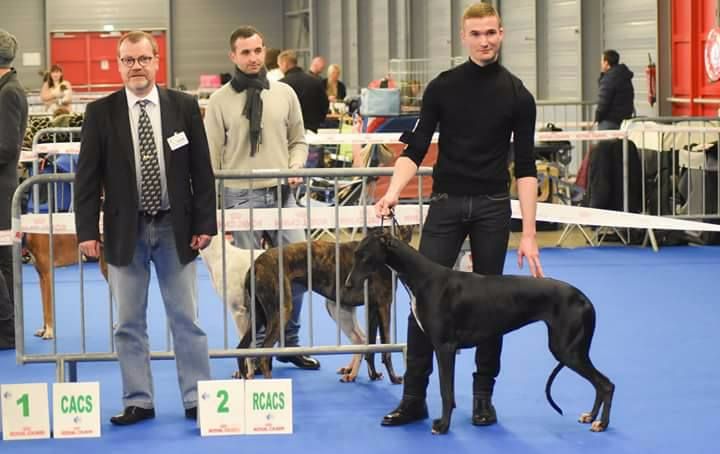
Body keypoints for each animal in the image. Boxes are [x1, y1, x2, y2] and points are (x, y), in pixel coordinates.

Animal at [240, 225, 414, 382]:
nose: (348, 283)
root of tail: (255, 265)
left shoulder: (373, 307)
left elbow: (371, 346)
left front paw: (374, 375)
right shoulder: (384, 305)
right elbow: (386, 349)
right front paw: (394, 378)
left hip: (262, 315)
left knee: (242, 349)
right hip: (283, 311)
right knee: (262, 356)